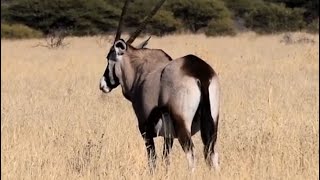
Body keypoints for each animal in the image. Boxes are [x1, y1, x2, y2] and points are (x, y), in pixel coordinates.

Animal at [99, 0, 220, 172]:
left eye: (109, 58)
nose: (103, 84)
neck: (141, 70)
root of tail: (200, 73)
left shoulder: (145, 129)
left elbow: (153, 160)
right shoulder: (168, 137)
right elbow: (165, 159)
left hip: (182, 125)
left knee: (191, 155)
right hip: (212, 124)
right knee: (212, 154)